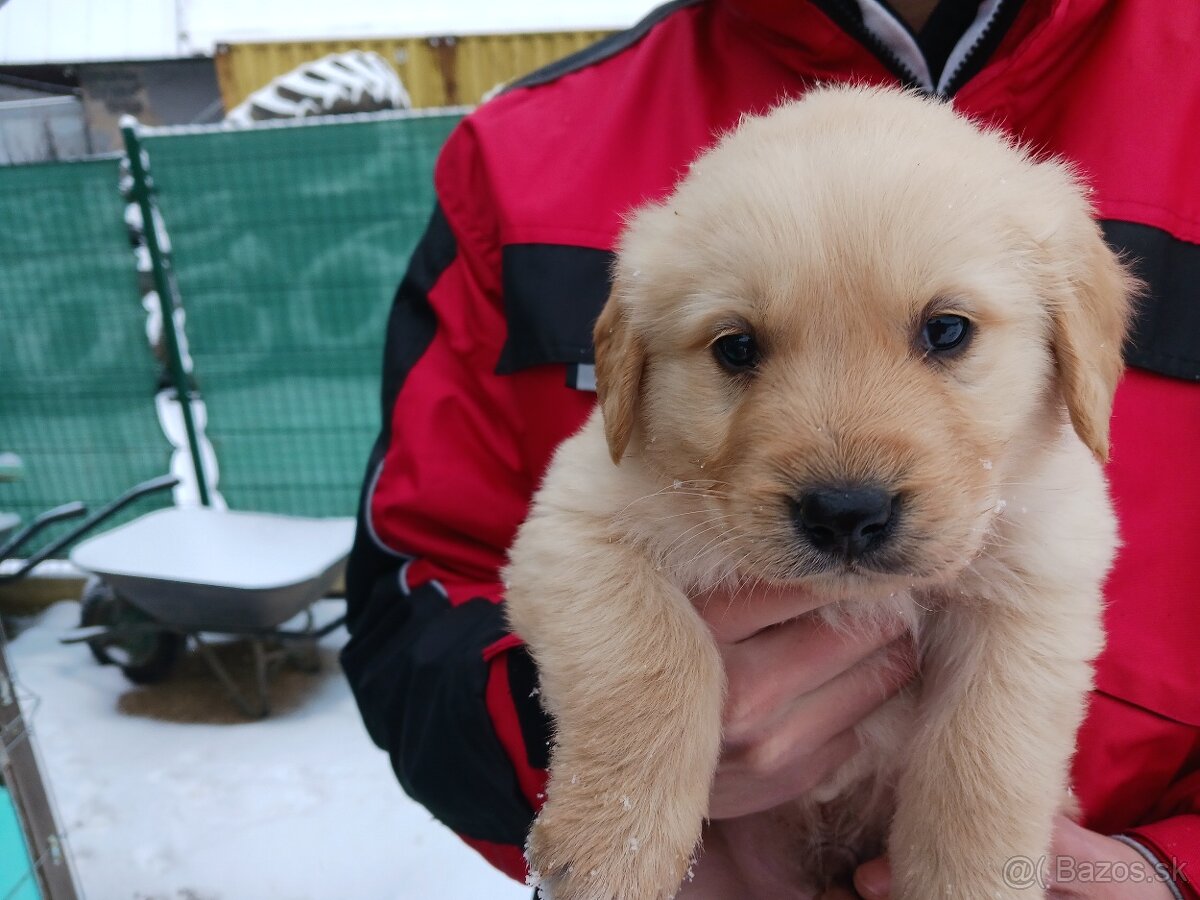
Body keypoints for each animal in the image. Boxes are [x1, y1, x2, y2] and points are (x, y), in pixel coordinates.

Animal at [504, 88, 1132, 900]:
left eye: (947, 330)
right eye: (736, 347)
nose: (846, 513)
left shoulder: (1039, 585)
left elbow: (984, 759)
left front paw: (964, 877)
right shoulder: (578, 520)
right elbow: (654, 655)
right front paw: (614, 843)